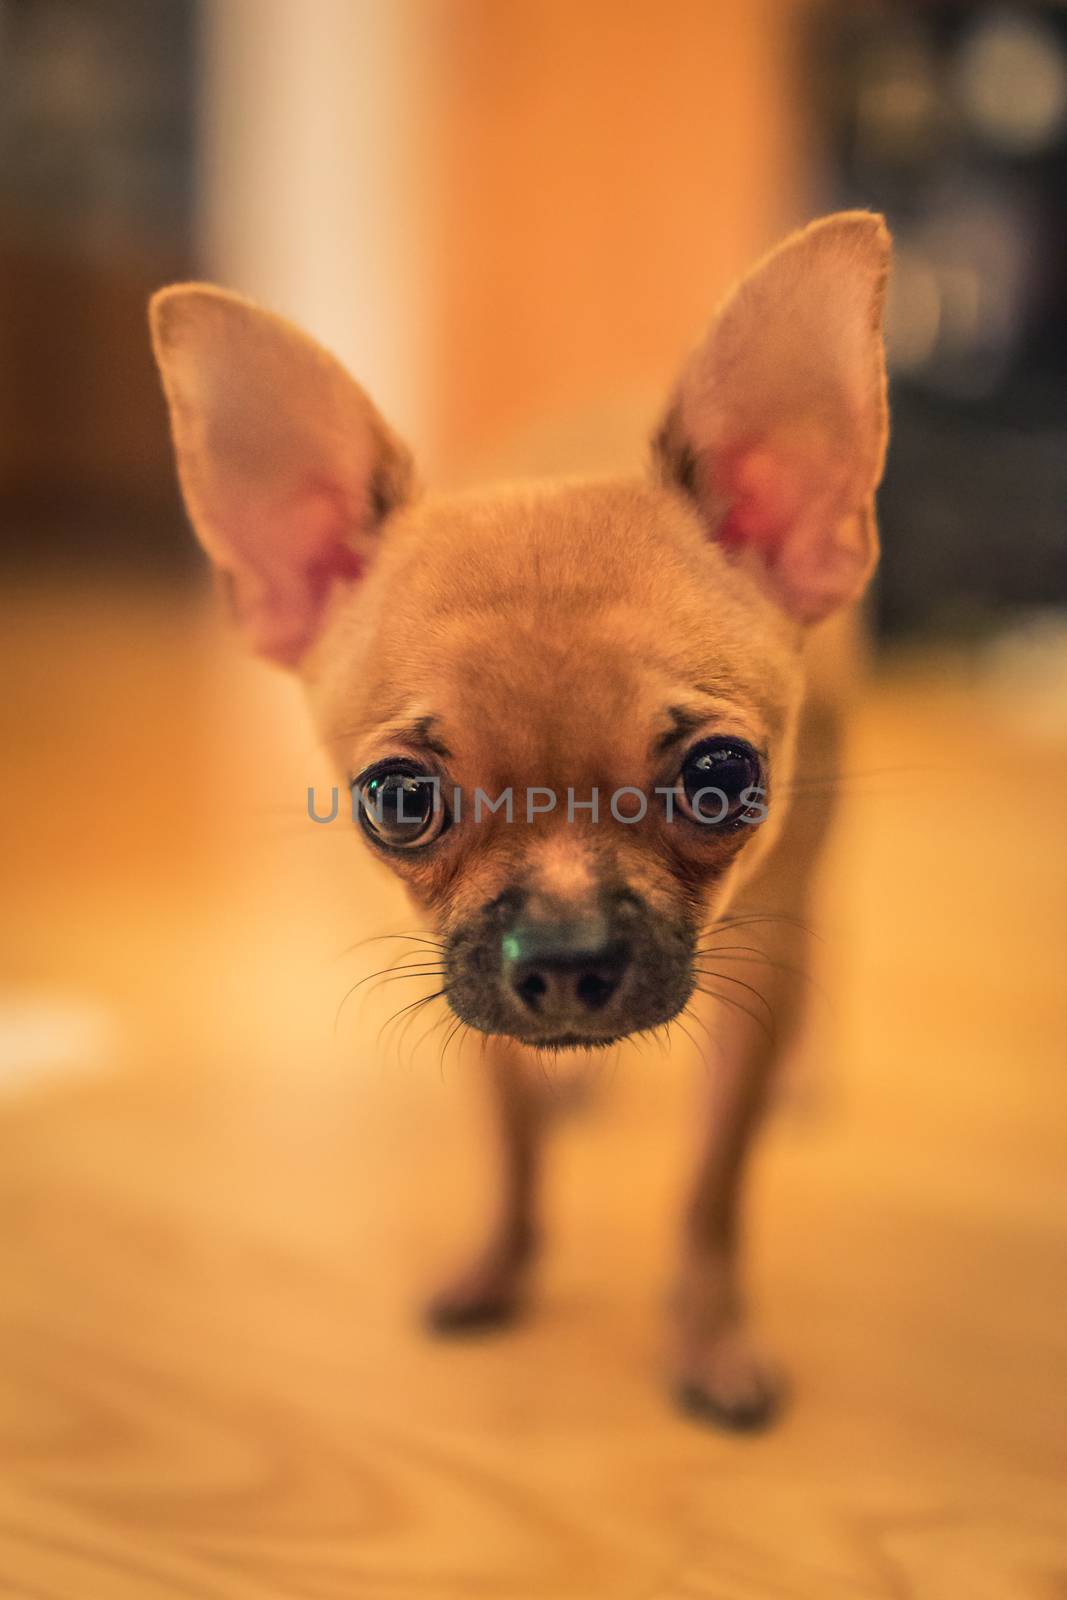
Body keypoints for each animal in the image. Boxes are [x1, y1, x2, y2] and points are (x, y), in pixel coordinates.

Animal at [146, 212, 889, 1427]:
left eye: (721, 777)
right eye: (397, 798)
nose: (567, 957)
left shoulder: (757, 956)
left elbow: (712, 1188)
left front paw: (711, 1334)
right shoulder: (476, 991)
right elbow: (512, 1150)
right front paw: (498, 1267)